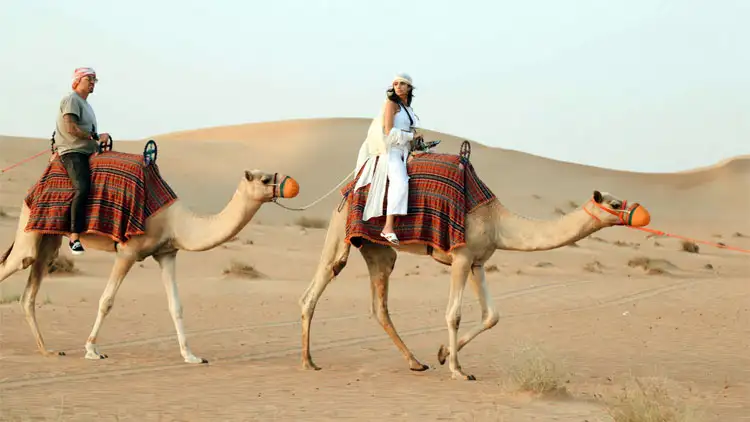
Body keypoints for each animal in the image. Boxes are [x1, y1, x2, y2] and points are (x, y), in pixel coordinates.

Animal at [0, 168, 299, 364]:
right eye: (264, 179)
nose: (291, 185)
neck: (176, 221)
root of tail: (33, 189)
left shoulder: (167, 253)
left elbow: (176, 306)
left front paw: (191, 355)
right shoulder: (127, 251)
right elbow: (106, 301)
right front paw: (92, 350)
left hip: (48, 239)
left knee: (29, 293)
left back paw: (48, 351)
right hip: (29, 230)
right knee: (17, 262)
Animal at [299, 185, 649, 380]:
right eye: (614, 204)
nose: (639, 212)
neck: (498, 222)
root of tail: (346, 194)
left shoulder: (478, 262)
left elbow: (492, 315)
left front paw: (443, 354)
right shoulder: (462, 257)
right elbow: (453, 314)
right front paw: (458, 370)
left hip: (378, 249)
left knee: (379, 305)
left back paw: (416, 363)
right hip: (340, 232)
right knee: (316, 288)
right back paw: (308, 362)